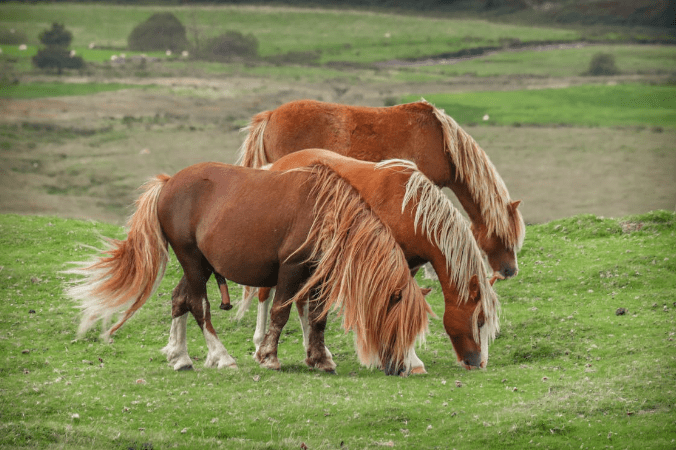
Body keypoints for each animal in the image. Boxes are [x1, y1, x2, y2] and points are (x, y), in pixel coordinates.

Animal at [66, 162, 430, 376]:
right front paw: (268, 356)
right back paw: (221, 356)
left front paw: (320, 358)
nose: (401, 367)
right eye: (400, 322)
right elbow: (281, 313)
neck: (326, 213)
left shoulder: (318, 275)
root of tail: (168, 184)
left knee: (179, 300)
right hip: (192, 260)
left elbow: (318, 318)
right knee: (198, 306)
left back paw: (181, 357)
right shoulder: (291, 270)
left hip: (198, 264)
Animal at [243, 149, 502, 372]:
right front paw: (409, 360)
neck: (410, 210)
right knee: (266, 295)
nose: (479, 363)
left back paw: (316, 352)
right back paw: (260, 346)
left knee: (301, 301)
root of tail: (276, 166)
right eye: (480, 321)